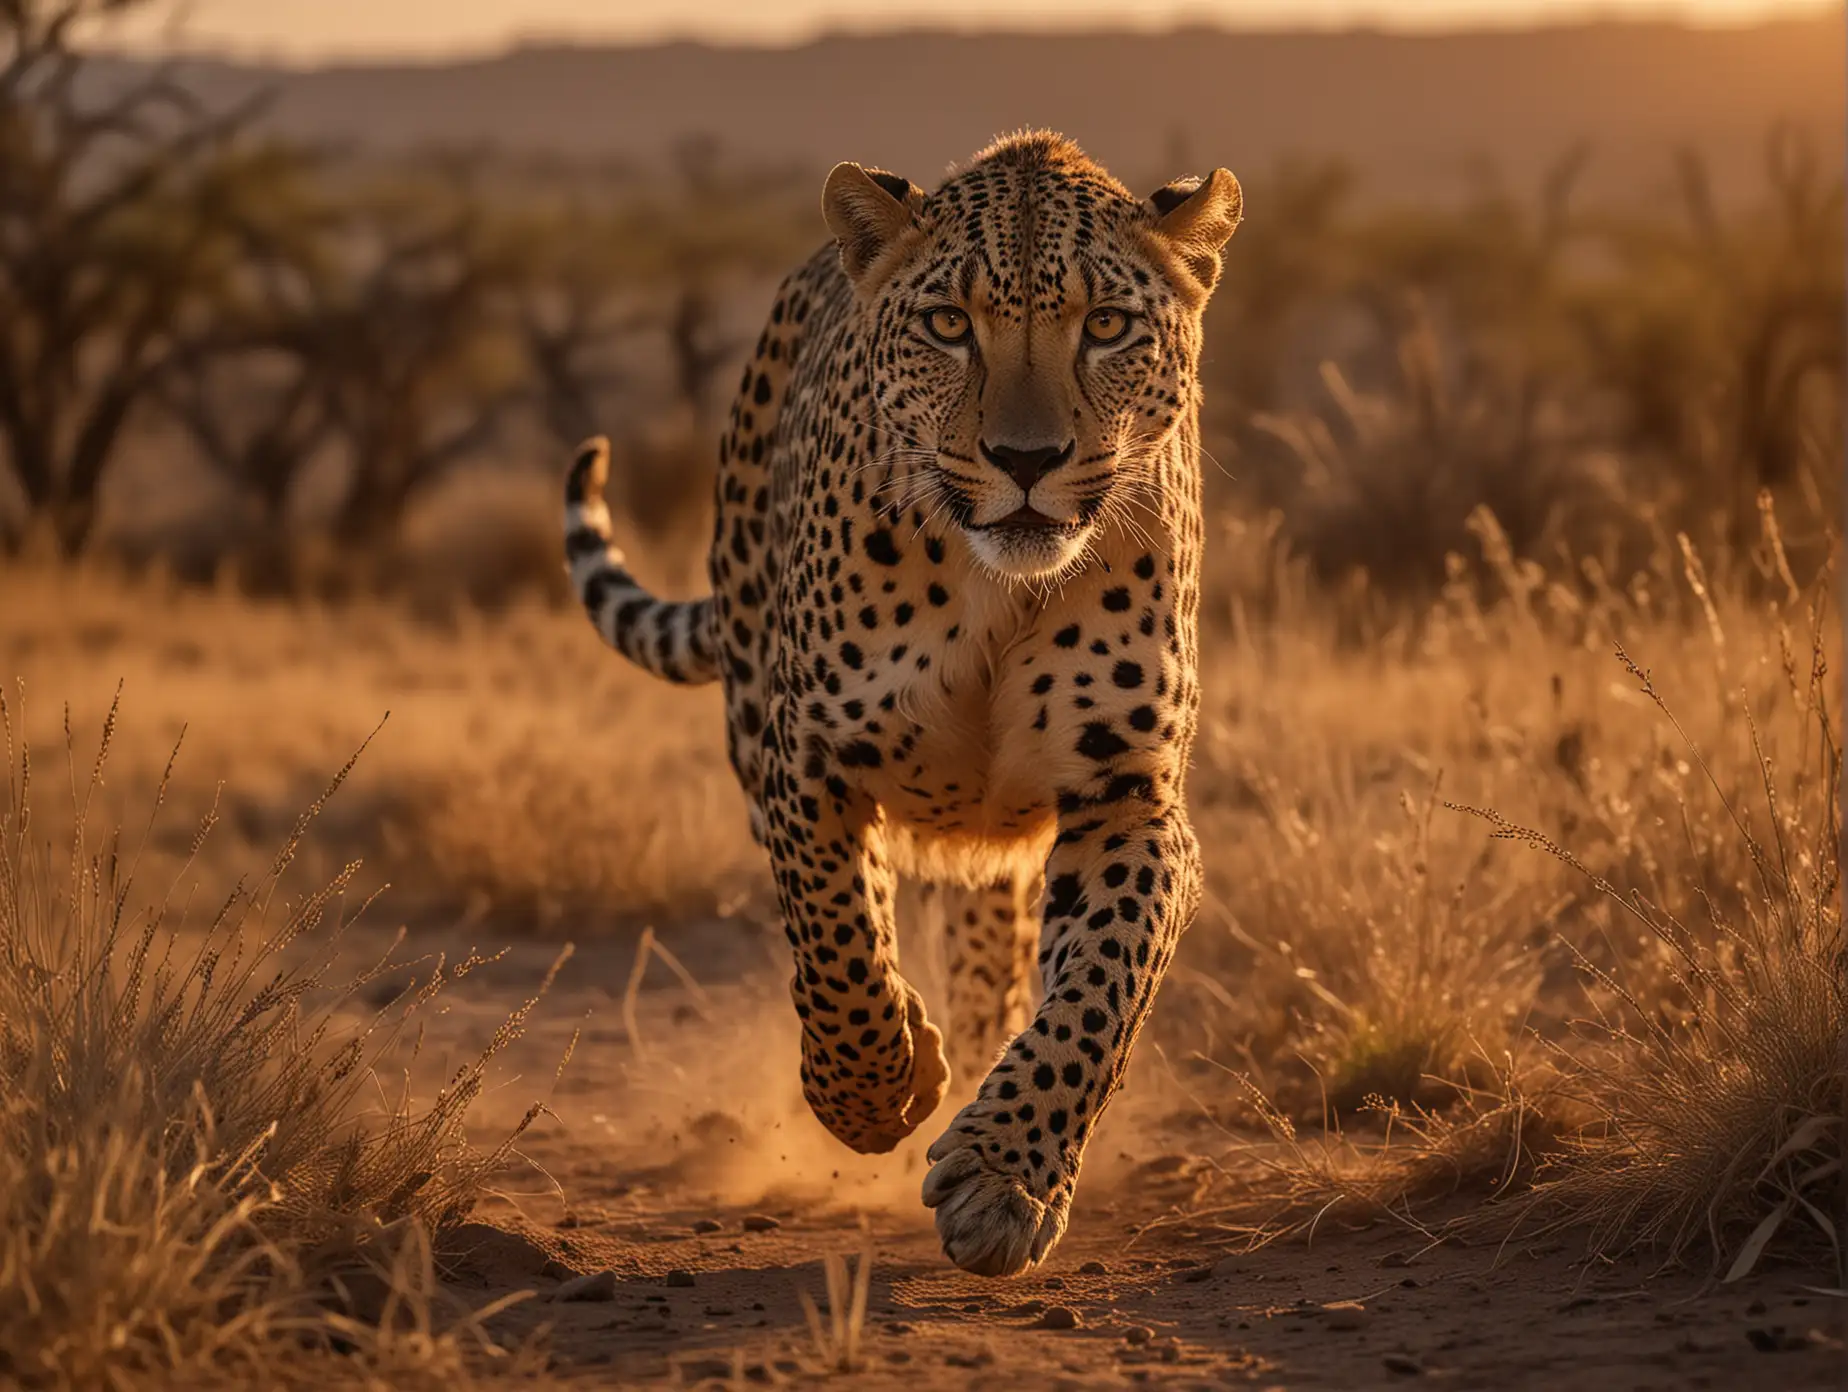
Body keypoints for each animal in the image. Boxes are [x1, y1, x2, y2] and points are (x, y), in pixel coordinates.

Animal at [565, 135, 1241, 1279]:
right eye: (948, 326)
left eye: (1107, 326)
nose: (1027, 461)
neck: (996, 585)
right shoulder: (807, 762)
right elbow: (837, 939)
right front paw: (877, 1092)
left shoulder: (1126, 795)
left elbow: (1103, 980)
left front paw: (1006, 1174)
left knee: (999, 938)